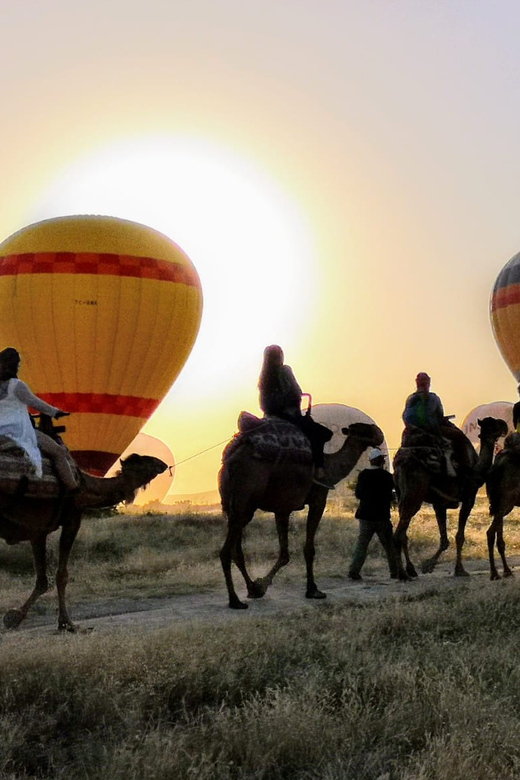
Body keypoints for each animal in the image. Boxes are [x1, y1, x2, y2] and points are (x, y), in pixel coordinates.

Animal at [0, 424, 167, 632]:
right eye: (145, 461)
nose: (163, 464)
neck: (85, 485)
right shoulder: (72, 519)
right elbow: (61, 575)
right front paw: (67, 623)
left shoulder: (37, 530)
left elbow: (42, 580)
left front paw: (14, 617)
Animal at [217, 420, 384, 608]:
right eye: (364, 430)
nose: (379, 433)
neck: (330, 468)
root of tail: (230, 463)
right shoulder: (318, 499)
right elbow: (308, 549)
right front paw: (313, 590)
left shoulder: (283, 508)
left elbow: (284, 554)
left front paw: (260, 586)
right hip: (246, 499)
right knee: (226, 551)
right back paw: (235, 600)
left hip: (234, 506)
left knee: (236, 550)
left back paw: (251, 589)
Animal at [394, 418, 508, 580]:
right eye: (493, 424)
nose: (504, 425)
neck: (474, 471)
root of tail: (403, 461)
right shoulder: (469, 497)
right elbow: (459, 536)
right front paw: (459, 570)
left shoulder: (439, 504)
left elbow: (444, 540)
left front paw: (428, 565)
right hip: (414, 494)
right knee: (399, 533)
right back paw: (403, 574)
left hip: (400, 494)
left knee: (403, 532)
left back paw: (409, 570)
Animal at [484, 438, 520, 580]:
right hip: (505, 501)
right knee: (498, 537)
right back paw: (504, 571)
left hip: (504, 505)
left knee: (490, 532)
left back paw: (495, 572)